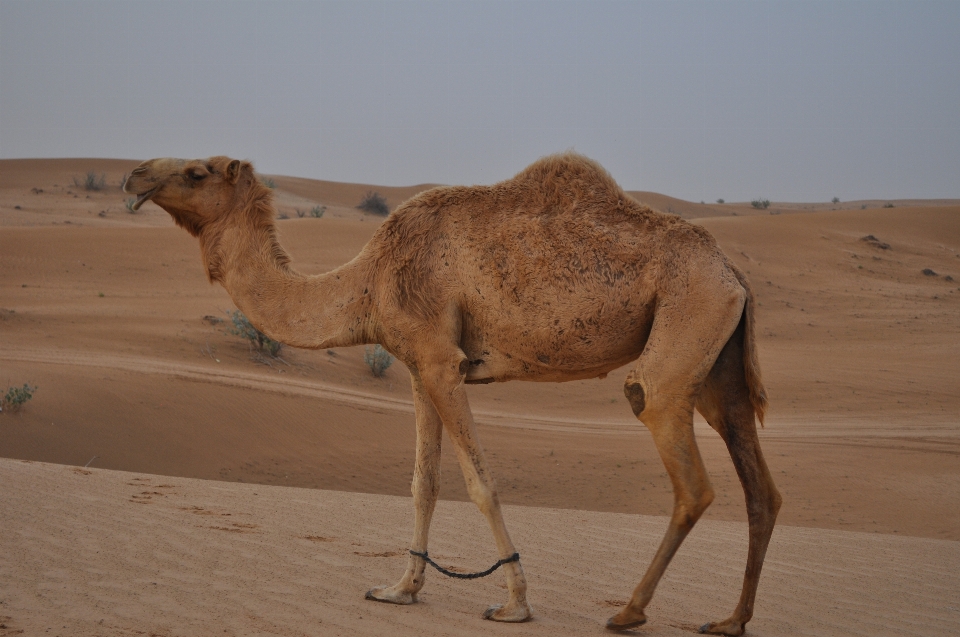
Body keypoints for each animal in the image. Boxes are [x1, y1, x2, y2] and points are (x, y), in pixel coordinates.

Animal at [122, 152, 780, 632]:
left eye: (196, 171)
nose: (133, 174)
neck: (367, 280)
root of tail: (732, 272)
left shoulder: (442, 361)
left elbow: (479, 483)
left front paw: (514, 603)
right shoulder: (419, 365)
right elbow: (424, 483)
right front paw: (400, 589)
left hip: (682, 332)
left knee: (685, 469)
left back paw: (627, 611)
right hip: (717, 363)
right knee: (761, 489)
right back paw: (730, 620)